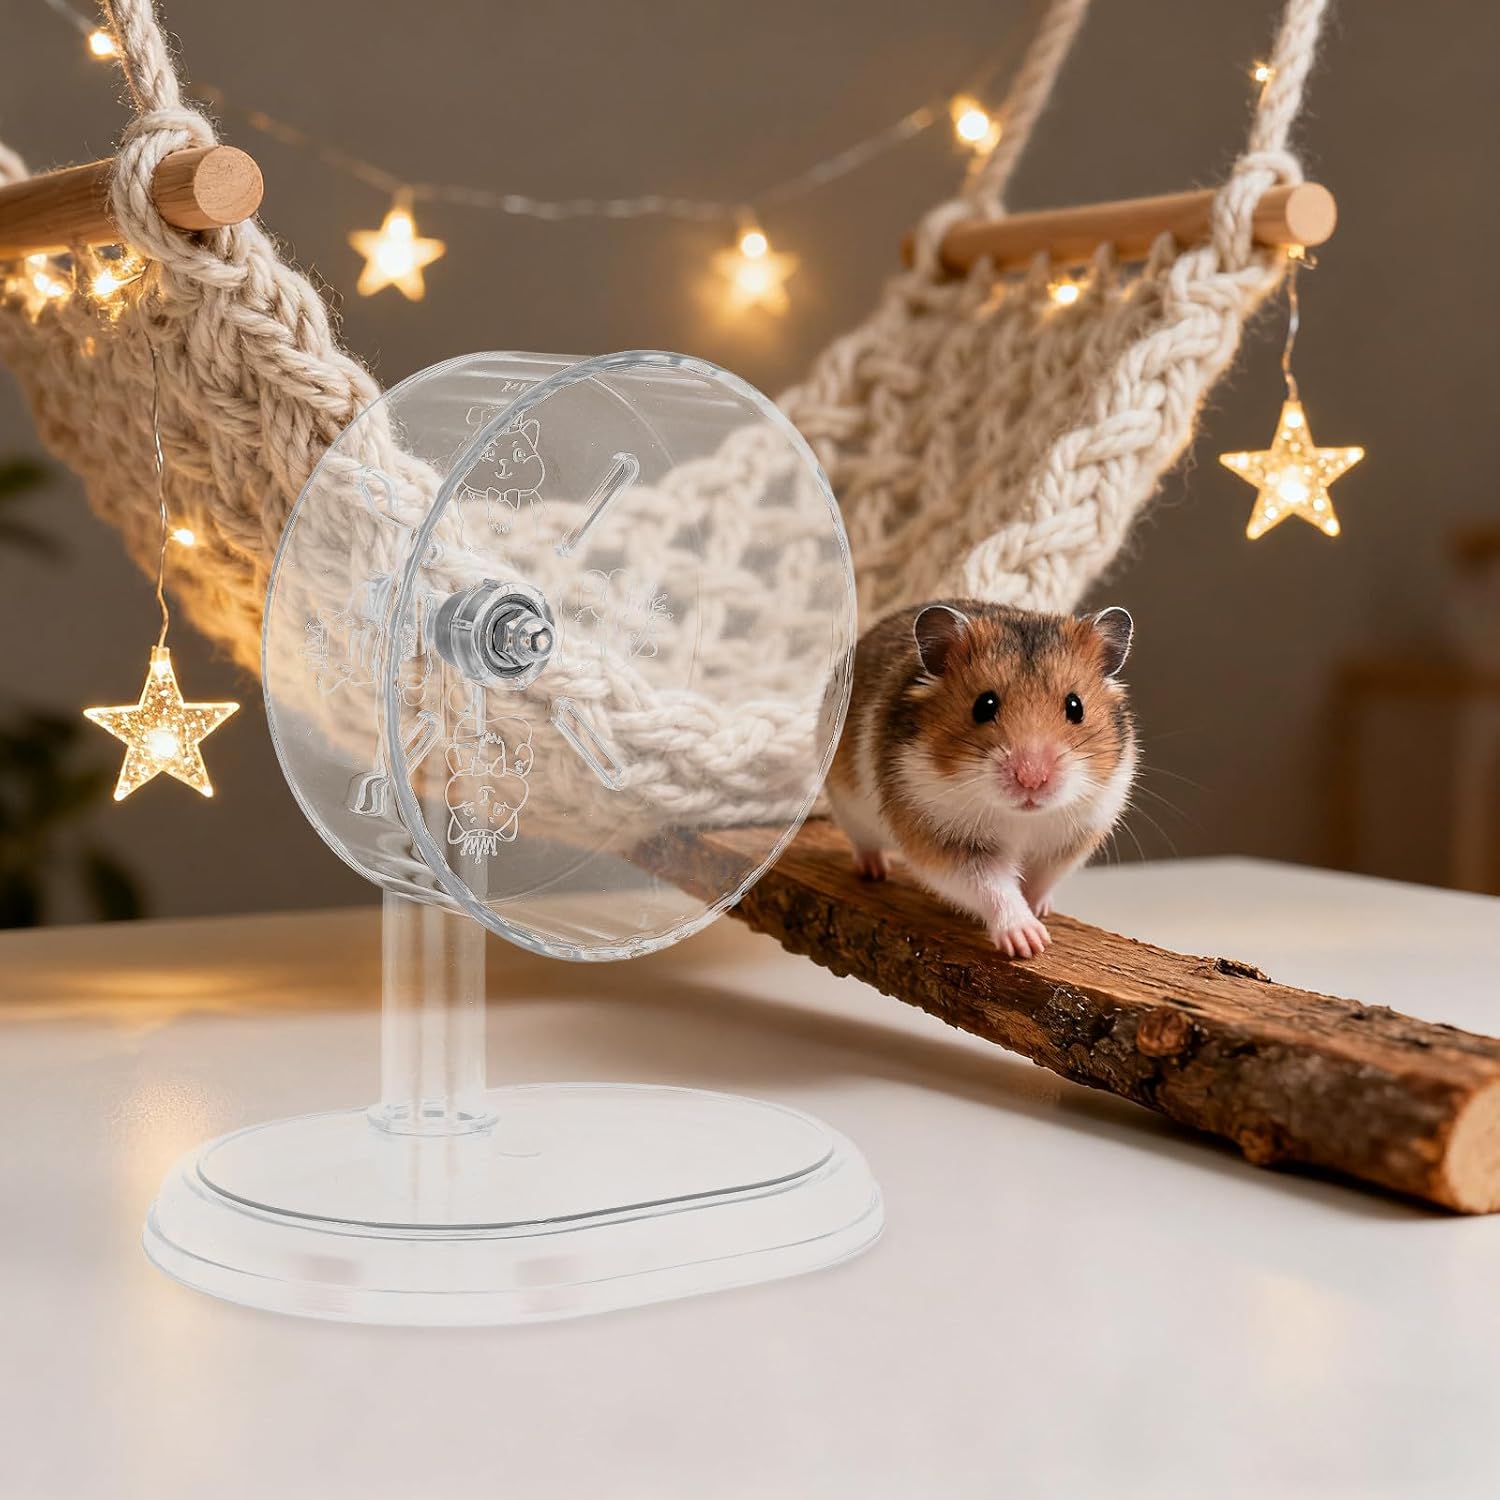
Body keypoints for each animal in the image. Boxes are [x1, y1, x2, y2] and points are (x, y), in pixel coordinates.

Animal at [823, 600, 1137, 958]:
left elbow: (1039, 881)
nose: (1031, 780)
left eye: (1075, 706)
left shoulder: (1069, 840)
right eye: (984, 705)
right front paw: (1029, 942)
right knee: (863, 843)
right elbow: (992, 887)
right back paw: (874, 870)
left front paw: (1040, 912)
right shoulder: (946, 841)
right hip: (847, 808)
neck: (1022, 818)